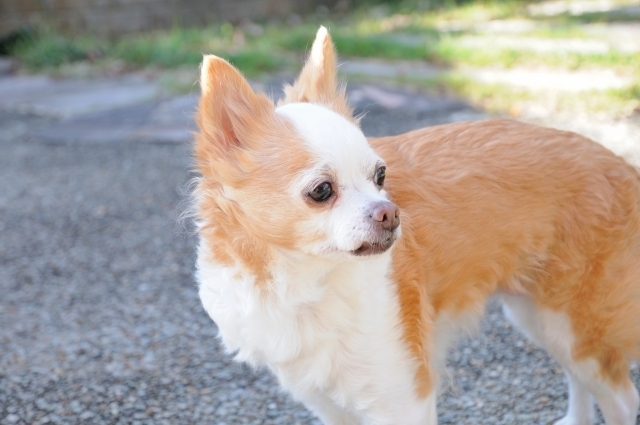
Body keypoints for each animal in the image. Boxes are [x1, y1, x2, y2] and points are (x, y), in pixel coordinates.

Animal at [194, 27, 640, 424]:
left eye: (380, 175)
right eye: (322, 190)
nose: (390, 213)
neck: (305, 282)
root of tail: (622, 166)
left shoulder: (403, 399)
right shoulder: (328, 401)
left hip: (573, 325)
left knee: (620, 398)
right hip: (539, 315)